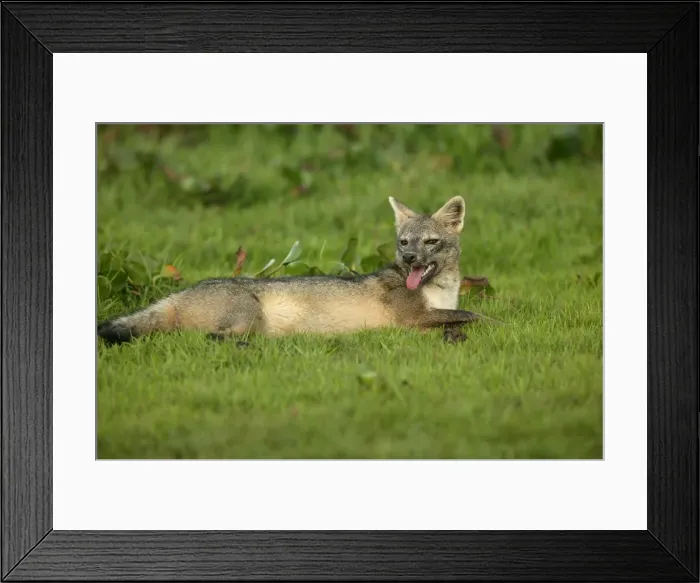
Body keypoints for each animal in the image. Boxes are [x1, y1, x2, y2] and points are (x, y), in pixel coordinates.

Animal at [97, 195, 487, 345]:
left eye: (430, 242)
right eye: (404, 243)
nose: (408, 260)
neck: (440, 292)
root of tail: (178, 293)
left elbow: (465, 315)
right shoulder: (410, 319)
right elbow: (476, 316)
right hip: (249, 318)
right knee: (212, 338)